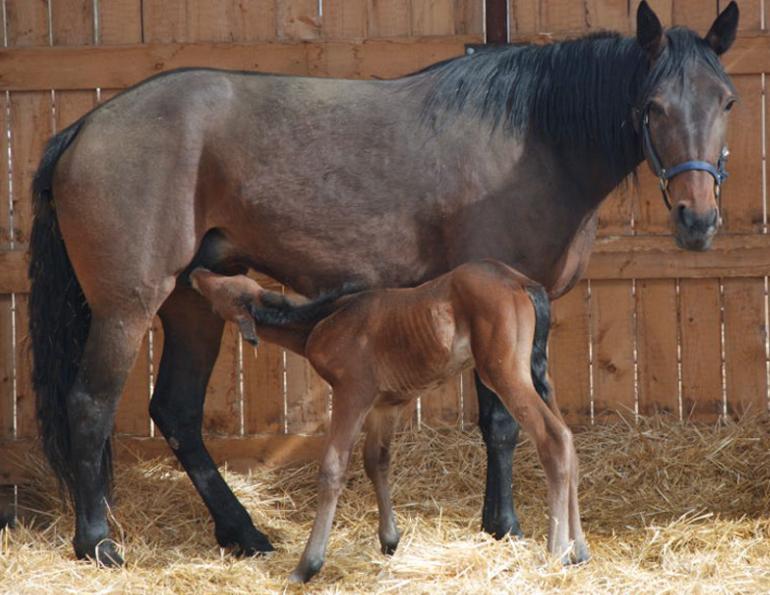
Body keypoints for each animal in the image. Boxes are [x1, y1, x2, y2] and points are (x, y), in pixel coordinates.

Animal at [189, 260, 584, 584]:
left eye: (223, 290)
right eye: (232, 279)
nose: (197, 272)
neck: (324, 320)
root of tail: (522, 282)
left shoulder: (352, 394)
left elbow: (333, 468)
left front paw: (307, 566)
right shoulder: (386, 406)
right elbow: (376, 461)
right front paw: (389, 541)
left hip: (505, 374)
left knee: (553, 439)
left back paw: (555, 553)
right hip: (539, 375)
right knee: (568, 442)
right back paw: (578, 550)